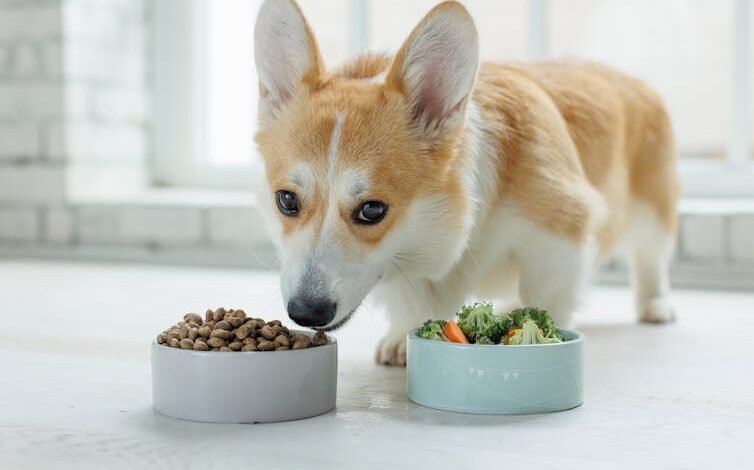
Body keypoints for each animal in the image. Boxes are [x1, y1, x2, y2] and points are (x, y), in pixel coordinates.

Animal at [251, 0, 676, 366]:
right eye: (286, 200)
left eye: (372, 209)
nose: (305, 312)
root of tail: (623, 74)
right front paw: (404, 337)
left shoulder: (559, 238)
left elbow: (544, 298)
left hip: (654, 209)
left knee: (650, 255)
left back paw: (655, 306)